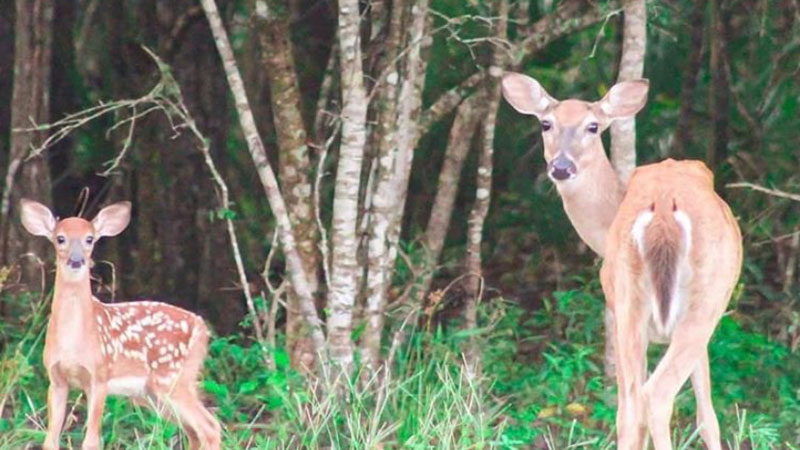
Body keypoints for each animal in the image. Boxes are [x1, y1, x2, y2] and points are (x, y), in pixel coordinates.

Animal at [19, 199, 221, 450]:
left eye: (90, 238)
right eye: (60, 238)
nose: (76, 260)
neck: (72, 344)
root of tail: (202, 328)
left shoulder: (100, 375)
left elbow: (91, 441)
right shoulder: (55, 378)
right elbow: (50, 441)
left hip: (174, 378)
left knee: (210, 427)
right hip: (152, 393)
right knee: (193, 431)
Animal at [501, 73, 742, 449]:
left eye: (593, 126)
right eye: (546, 123)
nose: (561, 167)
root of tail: (662, 208)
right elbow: (707, 416)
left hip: (632, 301)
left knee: (632, 405)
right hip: (700, 299)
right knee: (654, 395)